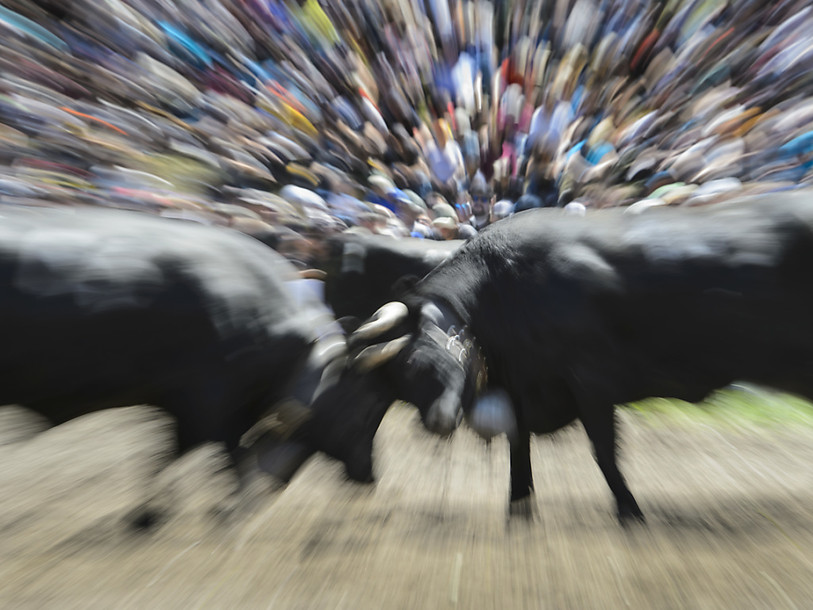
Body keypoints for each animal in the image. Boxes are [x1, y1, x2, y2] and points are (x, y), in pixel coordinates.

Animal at [0, 203, 350, 526]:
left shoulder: (184, 403)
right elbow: (228, 456)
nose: (279, 485)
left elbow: (169, 455)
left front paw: (150, 514)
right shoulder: (211, 402)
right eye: (314, 424)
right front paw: (232, 511)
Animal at [268, 191, 813, 524]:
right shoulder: (523, 389)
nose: (439, 423)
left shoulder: (591, 377)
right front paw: (518, 508)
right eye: (400, 381)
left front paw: (630, 513)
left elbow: (603, 451)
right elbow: (519, 449)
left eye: (422, 361)